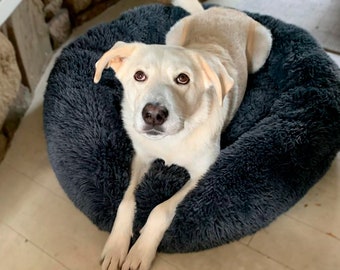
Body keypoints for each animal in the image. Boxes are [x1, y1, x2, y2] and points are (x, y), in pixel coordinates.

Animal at [92, 1, 270, 268]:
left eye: (183, 78)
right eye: (139, 75)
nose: (153, 115)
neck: (171, 140)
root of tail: (222, 10)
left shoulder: (202, 172)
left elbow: (161, 210)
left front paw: (141, 251)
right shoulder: (141, 157)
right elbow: (126, 201)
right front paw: (117, 246)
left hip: (262, 46)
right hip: (174, 33)